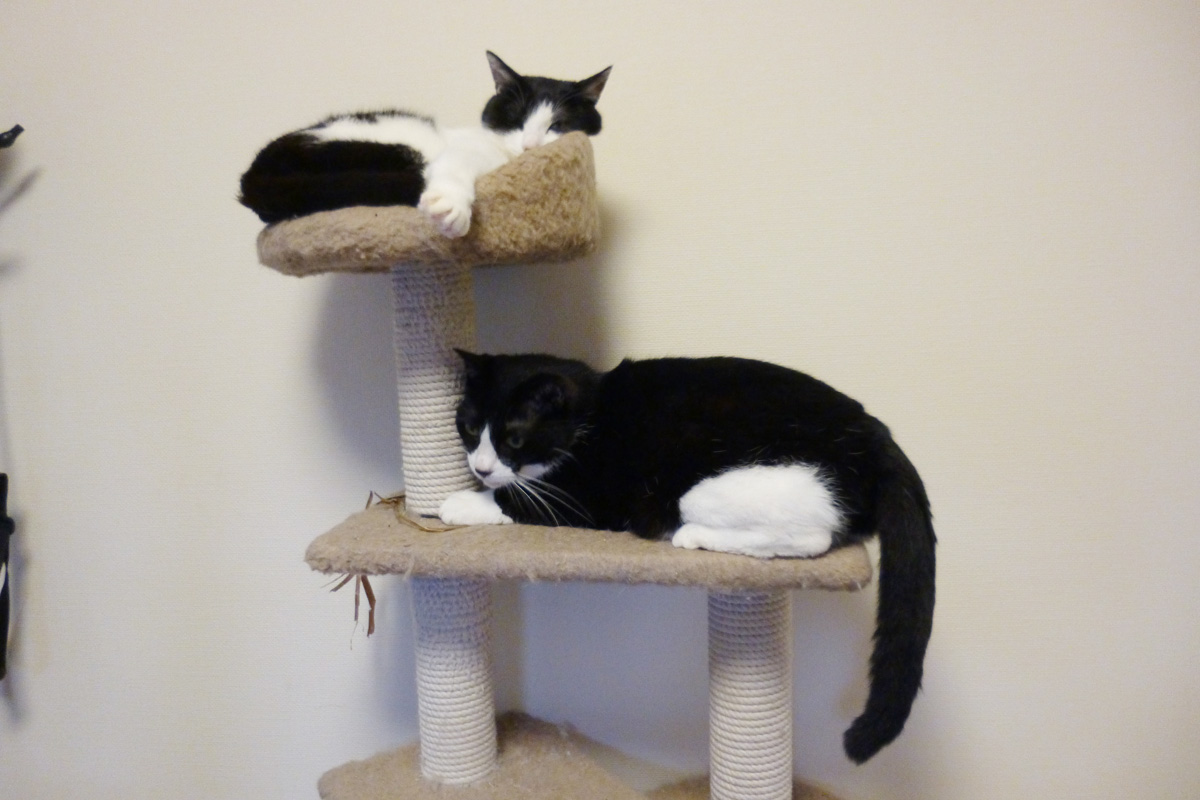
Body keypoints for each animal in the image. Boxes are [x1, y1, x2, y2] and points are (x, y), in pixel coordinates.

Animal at [238, 52, 610, 236]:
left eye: (558, 125)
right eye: (516, 118)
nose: (530, 146)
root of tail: (254, 175)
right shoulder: (467, 149)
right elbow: (455, 167)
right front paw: (451, 207)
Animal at [439, 351, 936, 764]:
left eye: (514, 438)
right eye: (469, 427)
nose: (480, 468)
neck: (590, 415)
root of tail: (876, 438)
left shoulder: (583, 499)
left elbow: (518, 501)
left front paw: (457, 502)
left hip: (715, 488)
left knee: (812, 536)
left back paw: (691, 535)